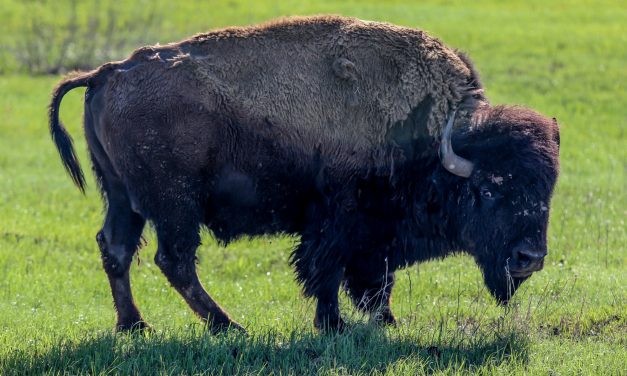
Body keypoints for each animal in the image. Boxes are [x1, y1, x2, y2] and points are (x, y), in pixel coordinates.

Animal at [49, 16, 560, 330]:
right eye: (488, 190)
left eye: (547, 192)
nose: (529, 258)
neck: (432, 135)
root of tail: (107, 72)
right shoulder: (341, 220)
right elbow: (331, 273)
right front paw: (335, 325)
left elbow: (368, 279)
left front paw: (383, 321)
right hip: (174, 204)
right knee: (173, 260)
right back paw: (229, 327)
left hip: (122, 196)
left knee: (117, 249)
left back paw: (136, 326)